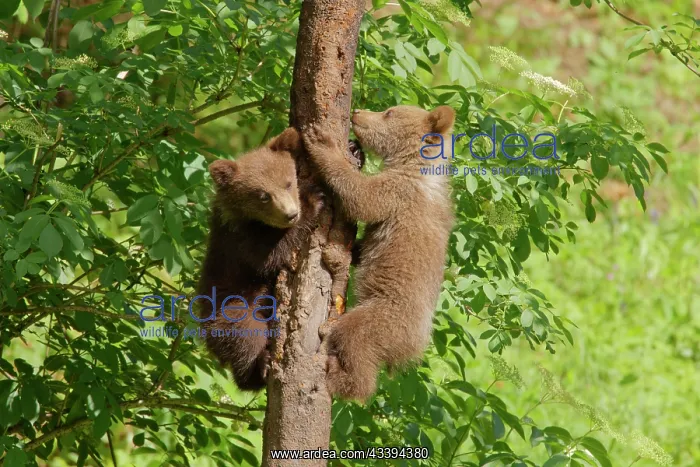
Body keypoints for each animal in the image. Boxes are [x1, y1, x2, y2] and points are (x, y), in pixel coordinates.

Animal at [198, 128, 323, 391]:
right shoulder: (239, 241)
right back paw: (262, 363)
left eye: (288, 182)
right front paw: (313, 198)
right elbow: (269, 256)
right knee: (244, 336)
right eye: (263, 196)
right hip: (232, 306)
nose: (291, 214)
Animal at [302, 105, 456, 400]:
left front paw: (323, 143)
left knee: (355, 342)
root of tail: (414, 349)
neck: (414, 165)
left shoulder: (399, 192)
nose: (358, 111)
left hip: (382, 319)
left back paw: (340, 378)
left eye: (389, 112)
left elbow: (362, 196)